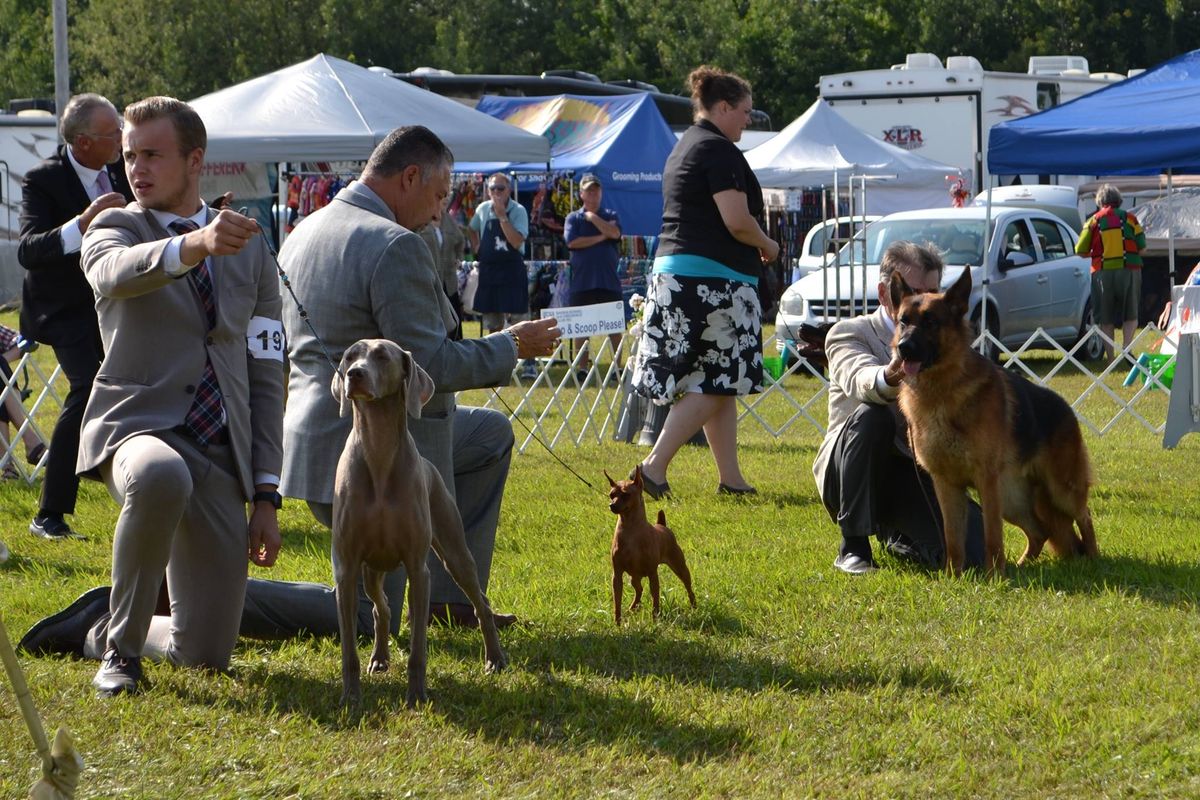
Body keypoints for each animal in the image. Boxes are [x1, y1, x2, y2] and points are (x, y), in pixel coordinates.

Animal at [331, 338, 508, 705]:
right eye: (350, 356)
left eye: (382, 356)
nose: (354, 375)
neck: (379, 452)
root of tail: (431, 466)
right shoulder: (347, 568)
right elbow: (349, 651)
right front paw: (351, 697)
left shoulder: (417, 567)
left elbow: (417, 649)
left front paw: (416, 695)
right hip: (371, 571)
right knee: (381, 610)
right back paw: (379, 658)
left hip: (455, 551)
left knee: (481, 604)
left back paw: (495, 659)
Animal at [604, 465, 700, 628]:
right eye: (611, 495)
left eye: (626, 495)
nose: (612, 505)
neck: (630, 530)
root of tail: (662, 525)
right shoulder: (617, 576)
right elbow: (617, 602)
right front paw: (617, 623)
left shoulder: (652, 574)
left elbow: (655, 600)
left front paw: (655, 621)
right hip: (633, 577)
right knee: (639, 589)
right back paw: (632, 607)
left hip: (680, 568)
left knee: (688, 587)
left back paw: (694, 606)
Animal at [892, 268, 1099, 575]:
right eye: (903, 321)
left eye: (931, 322)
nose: (903, 348)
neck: (942, 392)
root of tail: (1067, 409)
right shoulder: (946, 485)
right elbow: (953, 538)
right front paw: (952, 576)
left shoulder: (986, 480)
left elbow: (992, 534)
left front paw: (993, 576)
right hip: (1014, 498)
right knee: (1039, 532)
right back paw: (1023, 564)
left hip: (1059, 489)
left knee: (1084, 516)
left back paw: (1095, 558)